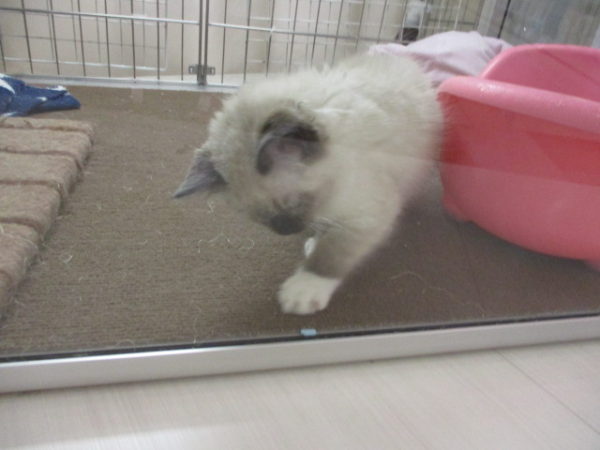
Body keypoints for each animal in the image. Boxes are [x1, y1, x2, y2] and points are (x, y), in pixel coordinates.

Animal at [175, 52, 443, 315]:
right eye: (259, 218)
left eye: (293, 202)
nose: (287, 230)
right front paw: (315, 240)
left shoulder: (368, 212)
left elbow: (330, 254)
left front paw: (305, 287)